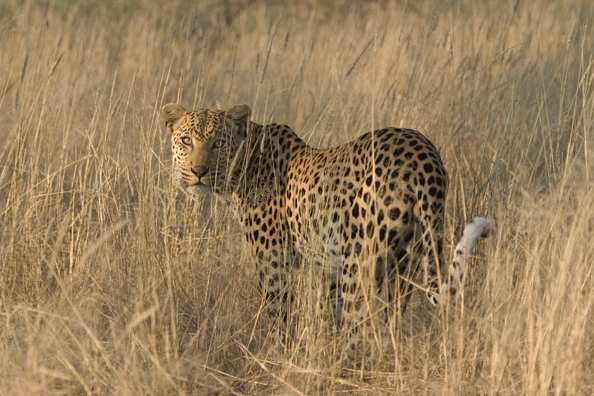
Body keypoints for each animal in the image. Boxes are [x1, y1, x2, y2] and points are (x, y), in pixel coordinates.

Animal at [162, 103, 490, 368]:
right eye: (187, 140)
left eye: (218, 143)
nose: (198, 171)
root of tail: (426, 157)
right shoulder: (327, 266)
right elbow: (329, 313)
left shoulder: (274, 263)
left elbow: (279, 313)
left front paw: (281, 359)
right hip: (406, 258)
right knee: (387, 322)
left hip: (361, 258)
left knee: (360, 325)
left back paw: (341, 371)